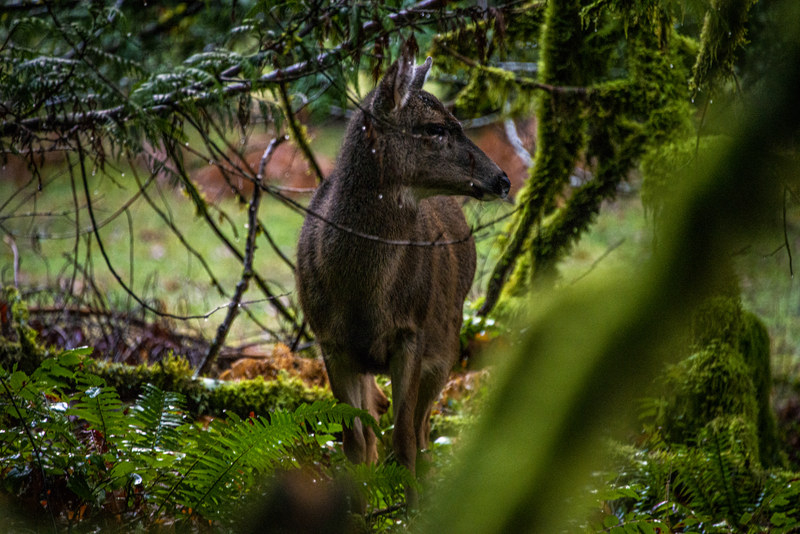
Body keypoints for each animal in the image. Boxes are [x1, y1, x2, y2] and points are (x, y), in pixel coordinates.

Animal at [295, 44, 510, 482]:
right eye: (434, 128)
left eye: (457, 121)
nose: (503, 179)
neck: (361, 295)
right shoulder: (330, 341)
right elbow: (355, 442)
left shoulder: (412, 332)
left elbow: (406, 439)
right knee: (376, 417)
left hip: (447, 342)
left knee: (423, 427)